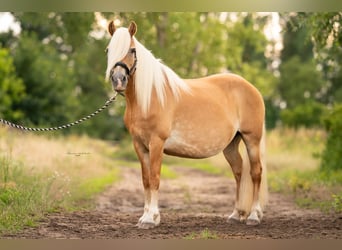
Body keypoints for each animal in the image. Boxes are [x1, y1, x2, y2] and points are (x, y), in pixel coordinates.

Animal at [105, 21, 268, 229]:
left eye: (132, 50)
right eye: (108, 50)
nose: (118, 80)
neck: (149, 97)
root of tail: (252, 88)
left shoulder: (156, 143)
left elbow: (154, 178)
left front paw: (151, 218)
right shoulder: (139, 145)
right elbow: (145, 180)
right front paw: (145, 217)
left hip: (251, 139)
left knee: (255, 173)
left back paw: (254, 216)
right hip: (231, 145)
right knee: (239, 172)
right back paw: (236, 214)